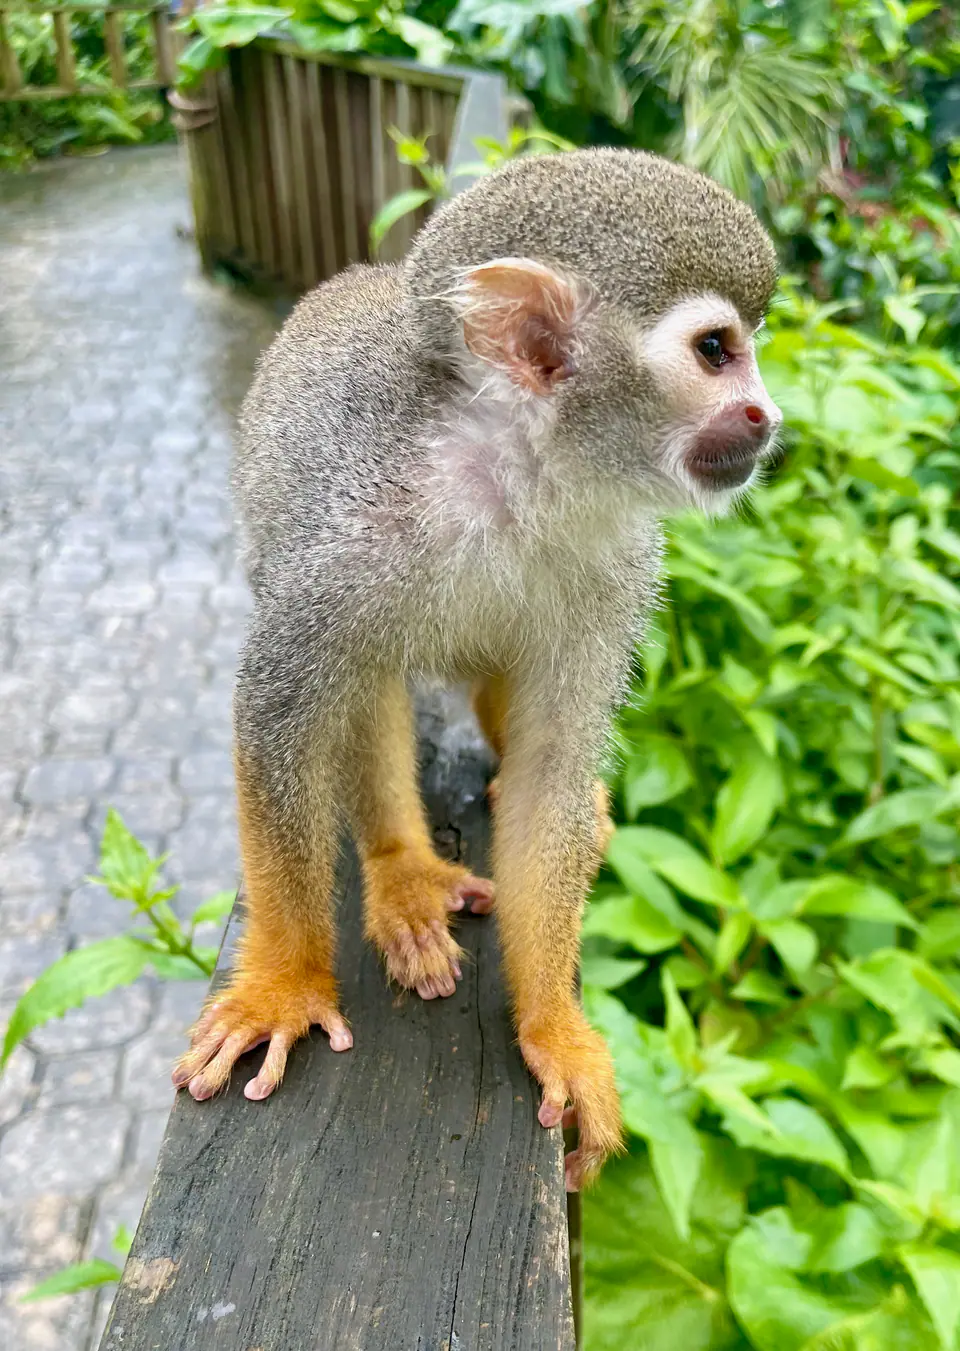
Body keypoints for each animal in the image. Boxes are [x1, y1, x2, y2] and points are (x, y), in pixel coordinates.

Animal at [172, 148, 781, 1190]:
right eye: (715, 350)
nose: (766, 415)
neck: (513, 473)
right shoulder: (352, 525)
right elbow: (284, 711)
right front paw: (285, 980)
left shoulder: (619, 562)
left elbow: (551, 770)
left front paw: (554, 1030)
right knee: (364, 676)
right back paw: (403, 871)